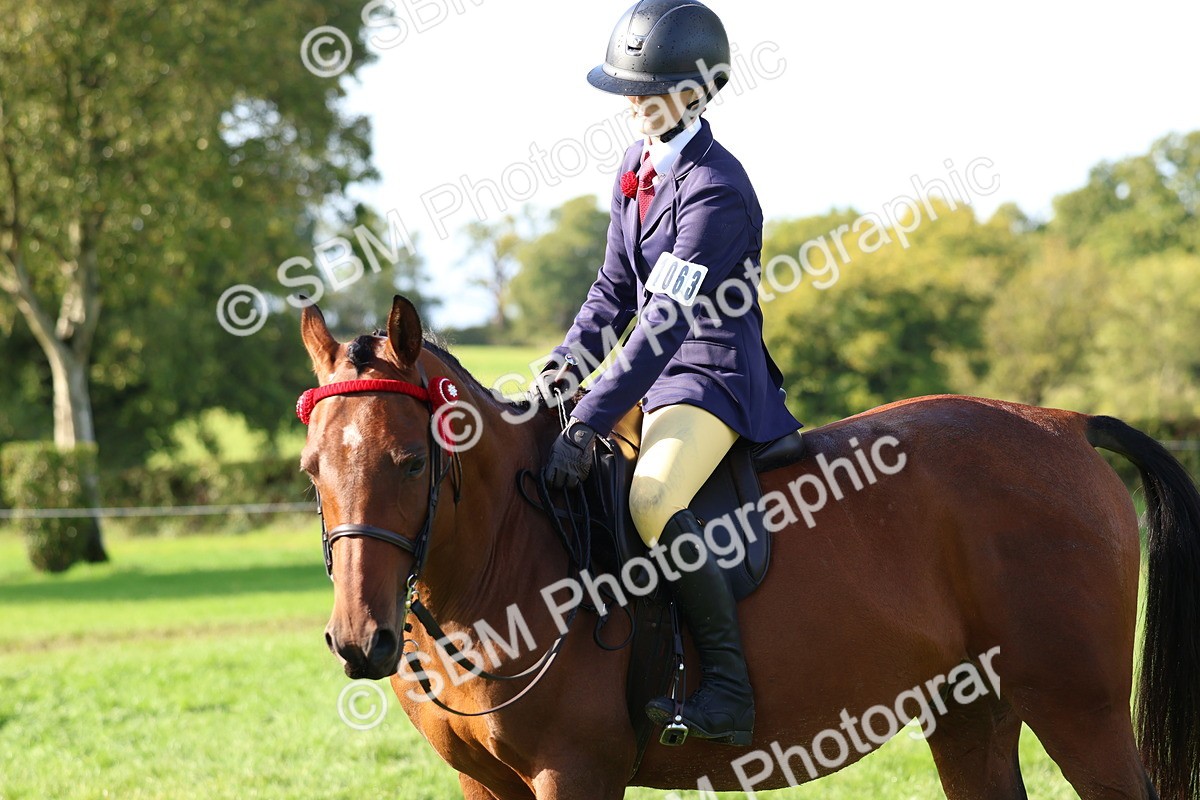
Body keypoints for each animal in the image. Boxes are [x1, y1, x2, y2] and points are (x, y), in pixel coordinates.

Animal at [298, 295, 1200, 800]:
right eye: (312, 469)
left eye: (411, 461)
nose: (359, 641)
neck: (509, 559)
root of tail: (1068, 425)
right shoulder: (483, 784)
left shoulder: (574, 774)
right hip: (971, 709)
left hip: (1078, 709)